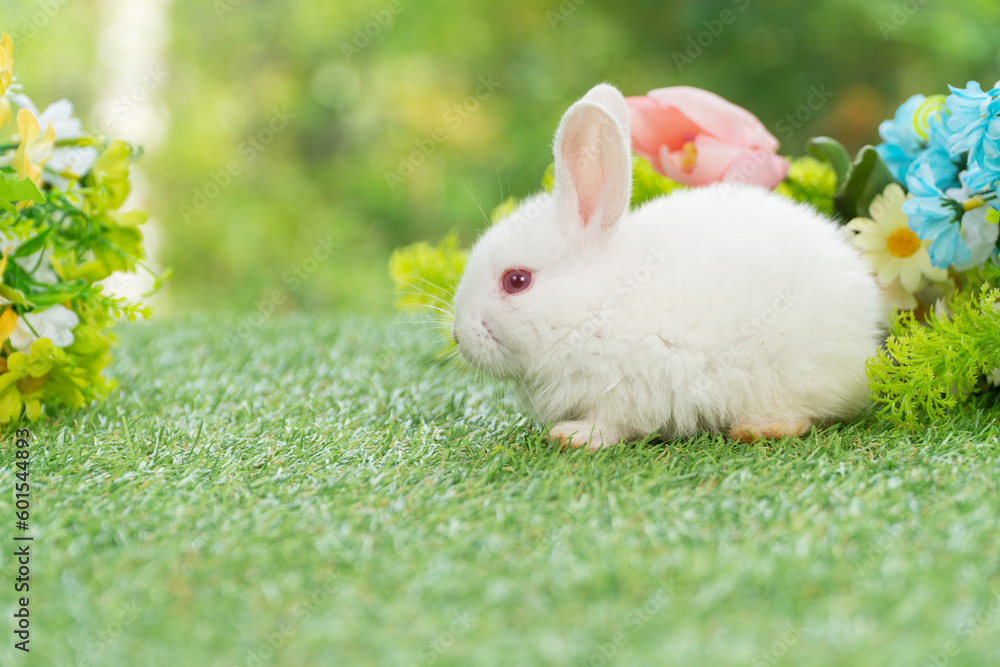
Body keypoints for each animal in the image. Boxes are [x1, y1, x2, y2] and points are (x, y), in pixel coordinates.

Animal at [451, 83, 885, 450]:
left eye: (516, 280)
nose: (458, 336)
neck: (595, 305)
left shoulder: (626, 387)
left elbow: (610, 423)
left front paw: (572, 436)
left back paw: (757, 429)